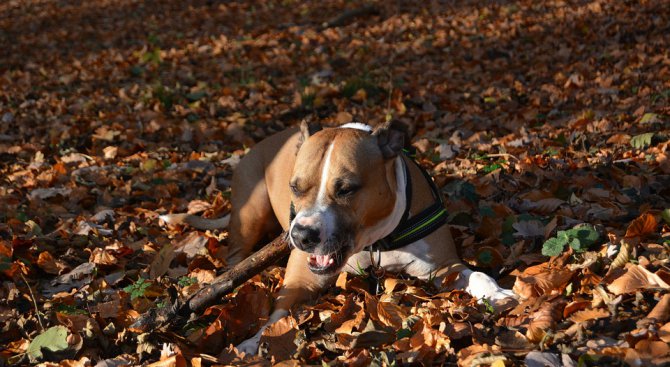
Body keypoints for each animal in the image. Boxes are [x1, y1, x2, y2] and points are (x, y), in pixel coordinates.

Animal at [161, 122, 516, 356]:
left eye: (346, 189)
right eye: (295, 187)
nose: (302, 235)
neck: (373, 243)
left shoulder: (444, 266)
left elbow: (478, 274)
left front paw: (497, 293)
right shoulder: (301, 280)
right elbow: (278, 315)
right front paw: (253, 342)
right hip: (250, 212)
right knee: (236, 254)